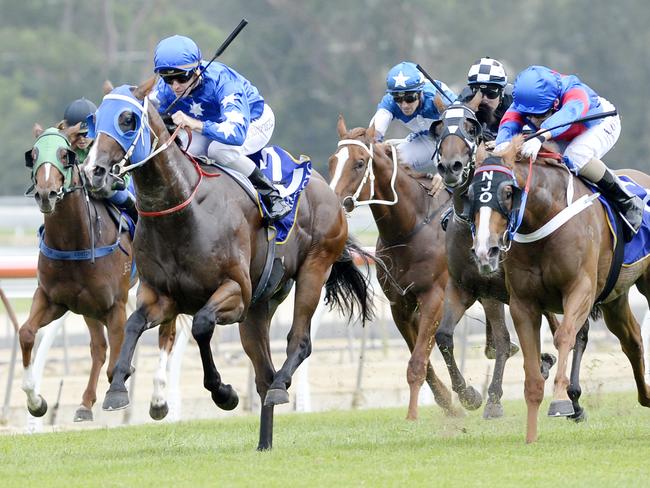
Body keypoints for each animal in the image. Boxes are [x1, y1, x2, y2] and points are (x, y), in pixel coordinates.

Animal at [19, 124, 134, 422]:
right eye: (33, 155)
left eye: (65, 155)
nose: (46, 193)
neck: (74, 242)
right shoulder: (53, 299)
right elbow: (26, 333)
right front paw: (36, 402)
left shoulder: (116, 305)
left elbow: (116, 361)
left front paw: (118, 393)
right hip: (88, 308)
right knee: (98, 348)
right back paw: (85, 403)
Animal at [81, 80, 370, 450]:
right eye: (95, 119)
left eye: (127, 119)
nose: (93, 172)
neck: (183, 211)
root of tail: (325, 186)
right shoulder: (162, 296)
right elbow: (133, 324)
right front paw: (117, 388)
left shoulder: (235, 292)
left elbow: (203, 325)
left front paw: (224, 393)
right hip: (261, 306)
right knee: (263, 373)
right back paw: (264, 442)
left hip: (313, 270)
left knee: (298, 343)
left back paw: (281, 386)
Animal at [326, 117, 458, 420]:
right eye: (332, 161)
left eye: (360, 163)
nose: (333, 205)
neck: (410, 228)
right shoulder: (400, 304)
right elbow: (423, 358)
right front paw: (450, 402)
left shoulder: (434, 296)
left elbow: (419, 360)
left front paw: (412, 415)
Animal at [468, 135, 648, 444]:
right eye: (470, 193)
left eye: (507, 192)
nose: (484, 250)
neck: (542, 220)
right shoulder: (523, 303)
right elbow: (532, 371)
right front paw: (531, 435)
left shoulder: (580, 289)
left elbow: (565, 336)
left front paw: (562, 400)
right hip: (615, 298)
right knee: (632, 339)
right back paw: (646, 397)